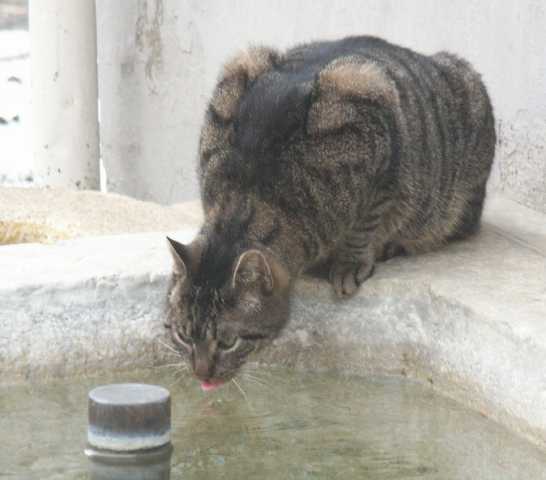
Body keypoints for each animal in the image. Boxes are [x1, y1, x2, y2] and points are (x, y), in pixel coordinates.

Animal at [165, 36, 492, 390]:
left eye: (228, 342)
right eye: (183, 336)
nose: (201, 374)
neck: (246, 196)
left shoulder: (375, 124)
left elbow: (367, 222)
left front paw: (350, 262)